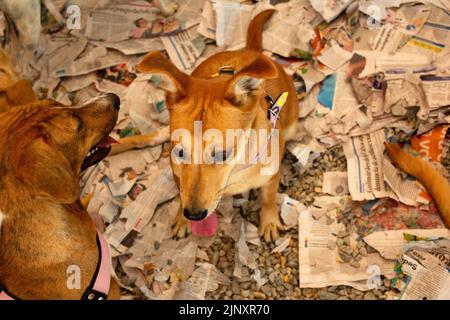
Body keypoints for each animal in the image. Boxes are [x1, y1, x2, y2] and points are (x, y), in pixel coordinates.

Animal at [136, 9, 298, 240]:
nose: (193, 215)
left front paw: (269, 221)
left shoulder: (270, 177)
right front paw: (181, 218)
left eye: (222, 154)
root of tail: (251, 50)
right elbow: (181, 192)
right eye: (179, 152)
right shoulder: (178, 175)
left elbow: (268, 199)